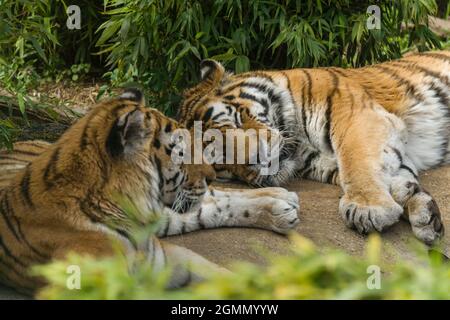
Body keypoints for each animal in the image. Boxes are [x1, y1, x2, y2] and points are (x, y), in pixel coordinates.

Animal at [0, 88, 302, 296]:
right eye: (180, 152)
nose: (211, 175)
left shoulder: (168, 258)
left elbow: (220, 272)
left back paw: (282, 199)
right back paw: (282, 207)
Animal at [176, 50, 450, 245]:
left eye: (235, 121)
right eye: (222, 165)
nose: (257, 160)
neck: (298, 145)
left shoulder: (356, 116)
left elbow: (356, 162)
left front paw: (369, 209)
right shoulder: (322, 163)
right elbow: (393, 174)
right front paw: (424, 213)